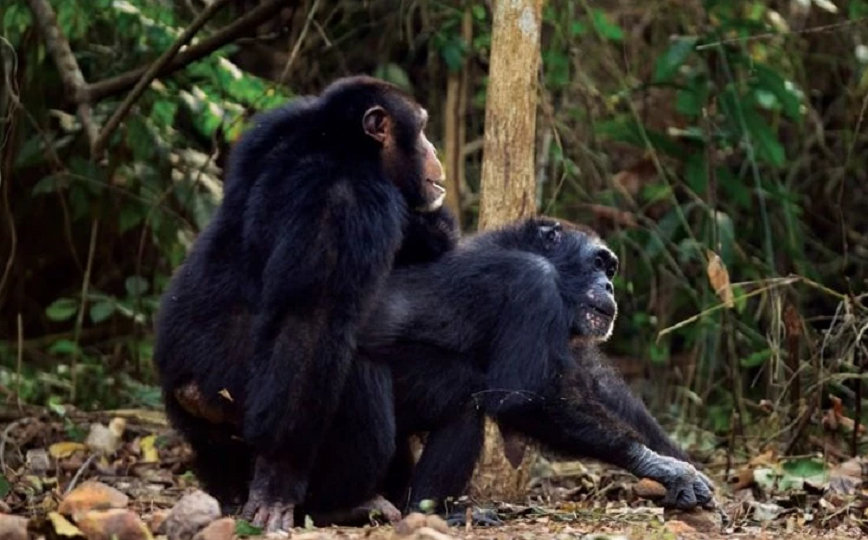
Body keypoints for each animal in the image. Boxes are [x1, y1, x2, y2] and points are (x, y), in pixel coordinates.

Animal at [362, 217, 720, 520]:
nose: (609, 286)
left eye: (611, 269)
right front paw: (660, 466)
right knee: (466, 397)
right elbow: (520, 397)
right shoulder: (534, 282)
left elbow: (596, 382)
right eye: (598, 263)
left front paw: (680, 463)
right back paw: (430, 512)